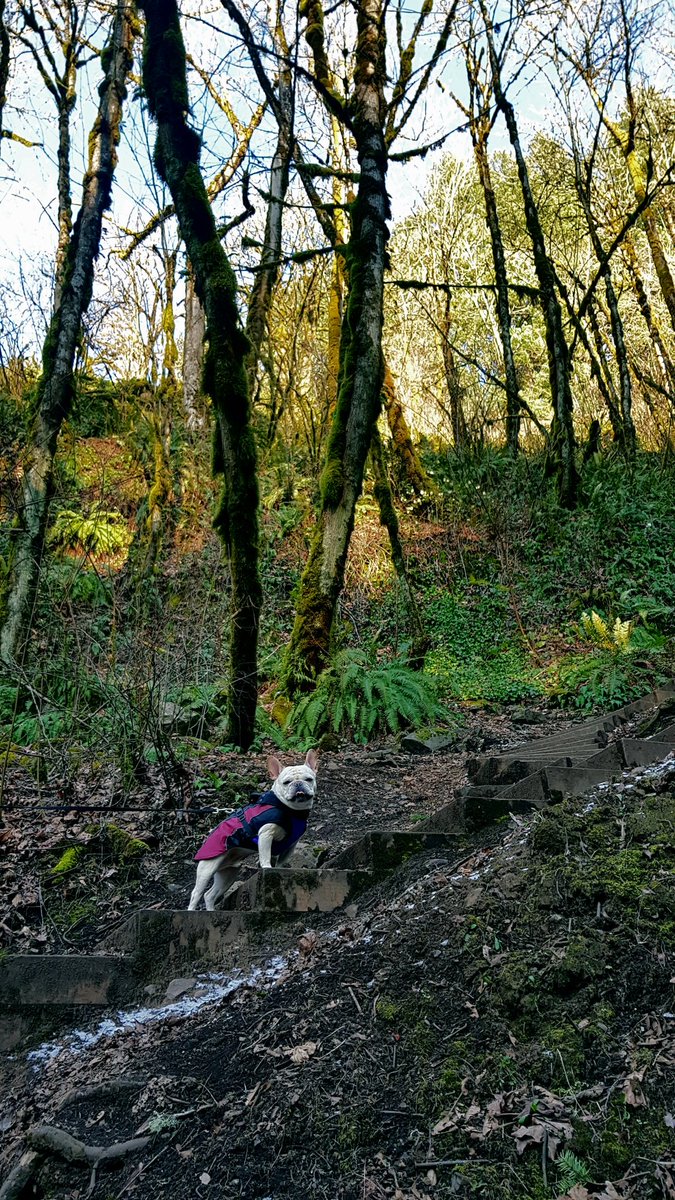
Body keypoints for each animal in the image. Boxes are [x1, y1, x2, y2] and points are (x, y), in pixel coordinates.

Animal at [188, 750, 318, 911]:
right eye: (287, 782)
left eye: (309, 779)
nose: (298, 784)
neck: (291, 810)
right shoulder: (265, 835)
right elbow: (265, 855)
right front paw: (267, 868)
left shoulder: (291, 845)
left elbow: (282, 861)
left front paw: (280, 869)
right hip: (207, 868)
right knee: (196, 893)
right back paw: (191, 911)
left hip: (227, 875)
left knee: (209, 894)